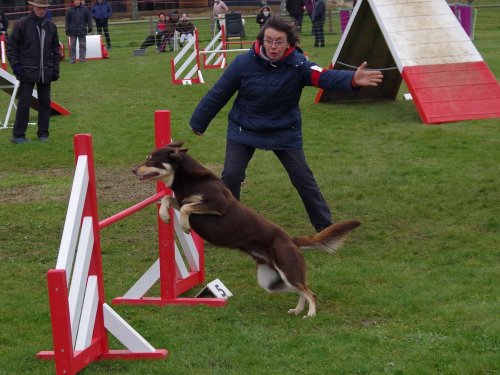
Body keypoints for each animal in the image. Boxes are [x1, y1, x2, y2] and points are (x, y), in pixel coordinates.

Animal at [133, 142, 360, 318]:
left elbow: (187, 207)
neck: (188, 180)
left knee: (310, 292)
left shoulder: (219, 204)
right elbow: (167, 198)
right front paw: (164, 215)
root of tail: (291, 240)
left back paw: (311, 313)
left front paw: (185, 225)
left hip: (287, 272)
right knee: (302, 290)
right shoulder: (181, 200)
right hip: (271, 282)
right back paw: (297, 310)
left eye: (151, 160)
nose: (133, 170)